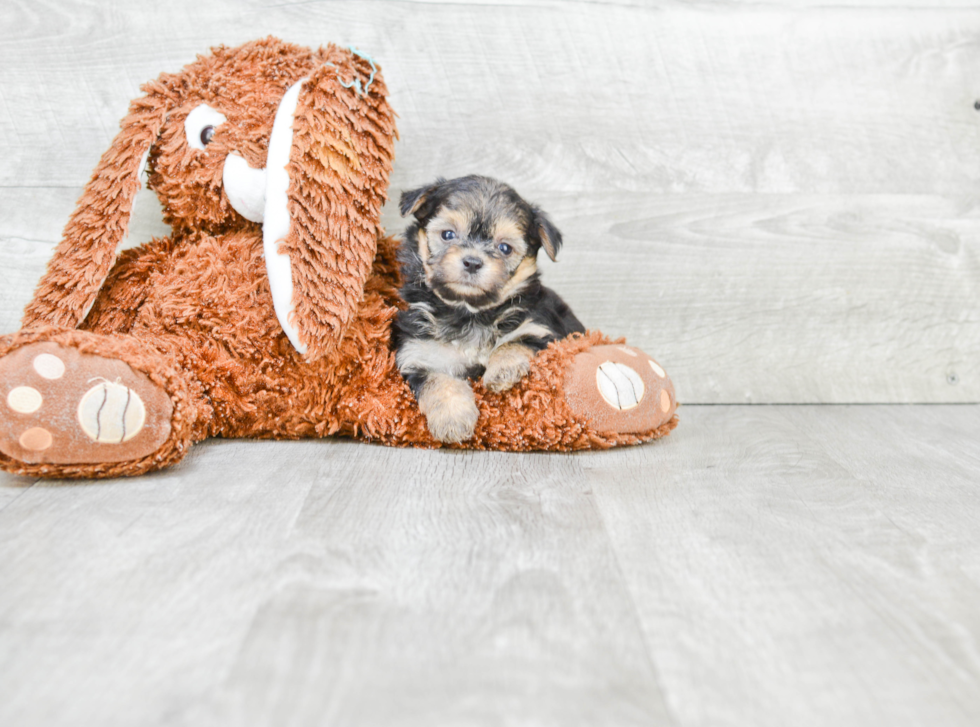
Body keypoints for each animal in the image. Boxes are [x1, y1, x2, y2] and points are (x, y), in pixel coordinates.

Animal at [394, 175, 584, 444]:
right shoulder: (418, 354)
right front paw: (452, 419)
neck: (468, 312)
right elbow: (438, 381)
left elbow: (515, 342)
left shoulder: (544, 332)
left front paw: (501, 372)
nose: (472, 262)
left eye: (504, 248)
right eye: (448, 234)